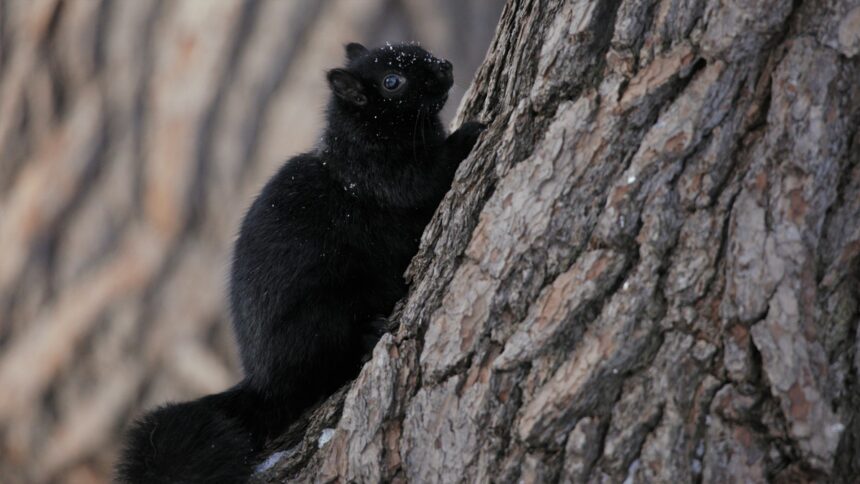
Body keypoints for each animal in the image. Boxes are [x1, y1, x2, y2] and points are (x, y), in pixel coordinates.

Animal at [117, 42, 486, 483]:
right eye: (392, 82)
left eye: (418, 49)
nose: (444, 67)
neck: (362, 140)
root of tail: (266, 385)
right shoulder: (384, 177)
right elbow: (427, 179)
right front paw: (470, 133)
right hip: (324, 317)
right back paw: (368, 336)